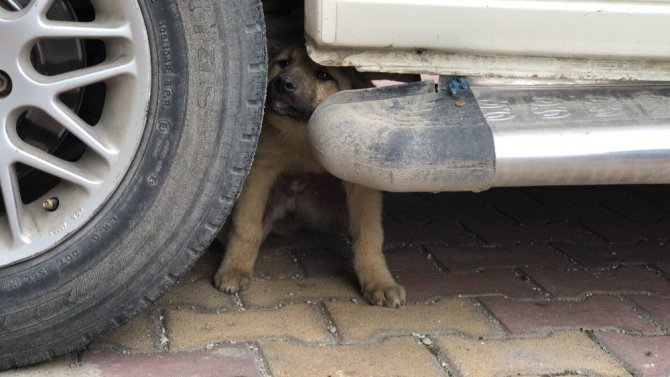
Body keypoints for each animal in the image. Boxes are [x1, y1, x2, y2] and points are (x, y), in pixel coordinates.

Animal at [215, 44, 406, 306]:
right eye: (284, 63)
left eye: (323, 74)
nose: (282, 83)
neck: (303, 133)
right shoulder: (259, 173)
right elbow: (246, 227)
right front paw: (235, 268)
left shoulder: (361, 186)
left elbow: (369, 234)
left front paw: (379, 281)